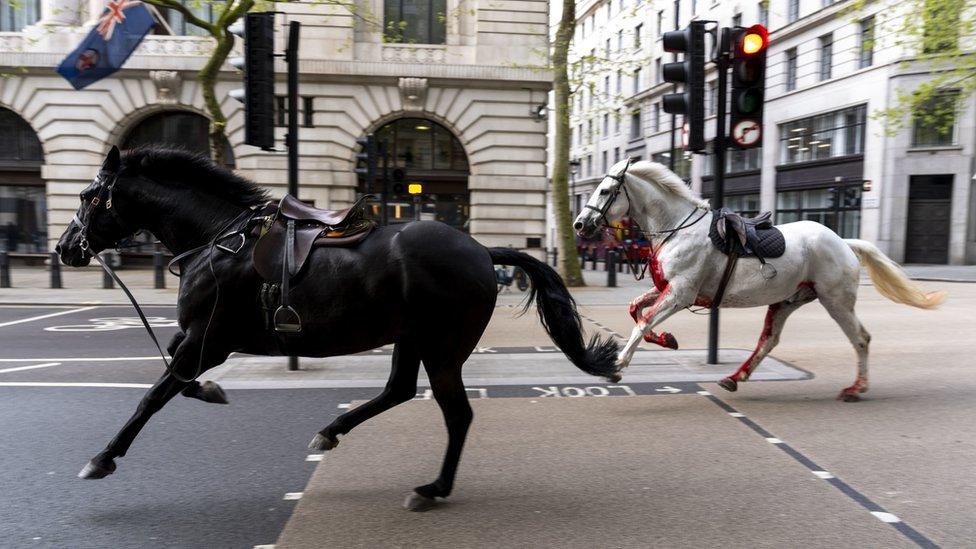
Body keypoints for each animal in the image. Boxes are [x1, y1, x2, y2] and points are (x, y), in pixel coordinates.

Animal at [55, 146, 616, 510]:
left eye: (88, 196)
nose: (63, 249)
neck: (218, 240)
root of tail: (481, 249)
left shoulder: (209, 340)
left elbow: (154, 395)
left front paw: (102, 458)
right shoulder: (198, 339)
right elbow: (175, 374)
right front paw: (212, 391)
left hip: (442, 347)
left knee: (456, 414)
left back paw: (432, 488)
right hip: (411, 338)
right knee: (398, 390)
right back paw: (332, 432)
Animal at [572, 156, 944, 400]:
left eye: (605, 191)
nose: (579, 224)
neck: (677, 228)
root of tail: (843, 242)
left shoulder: (681, 293)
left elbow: (644, 320)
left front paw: (617, 365)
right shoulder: (668, 289)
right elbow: (636, 310)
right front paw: (667, 339)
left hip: (835, 300)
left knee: (861, 339)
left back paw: (856, 387)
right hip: (787, 301)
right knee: (769, 341)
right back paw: (736, 377)